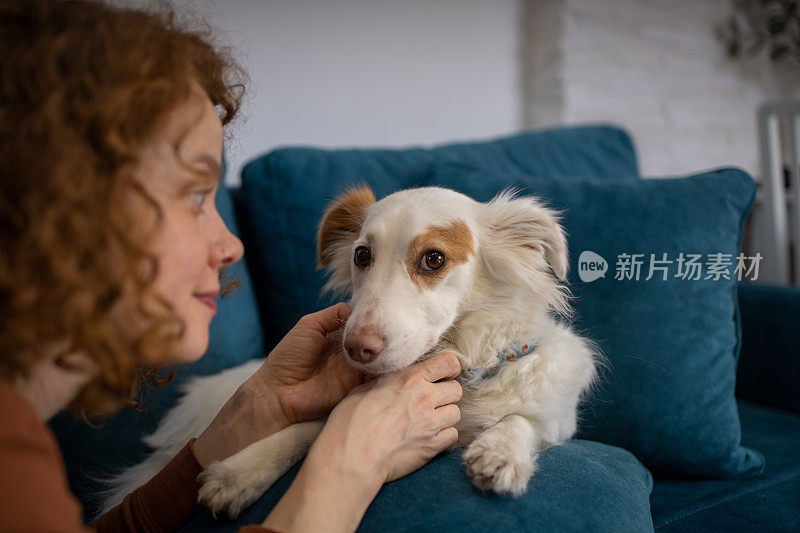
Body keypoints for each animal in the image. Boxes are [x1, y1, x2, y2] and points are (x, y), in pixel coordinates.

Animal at [100, 186, 596, 516]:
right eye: (361, 256)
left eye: (434, 258)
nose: (356, 347)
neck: (460, 365)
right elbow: (310, 428)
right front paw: (241, 470)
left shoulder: (557, 420)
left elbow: (522, 420)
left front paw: (500, 450)